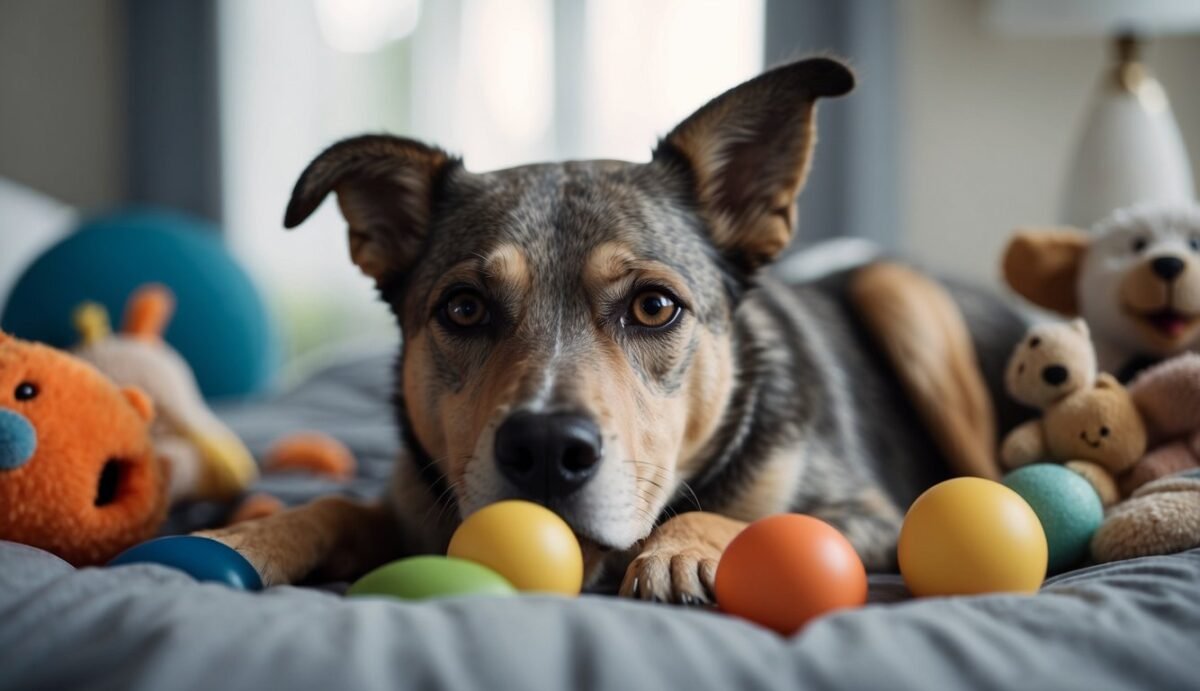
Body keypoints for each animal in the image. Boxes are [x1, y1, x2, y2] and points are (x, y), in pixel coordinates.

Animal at [201, 56, 1027, 602]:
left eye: (655, 306)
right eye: (464, 308)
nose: (543, 449)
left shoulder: (872, 513)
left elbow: (754, 514)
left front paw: (681, 548)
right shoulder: (410, 503)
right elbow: (336, 507)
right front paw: (241, 538)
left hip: (901, 294)